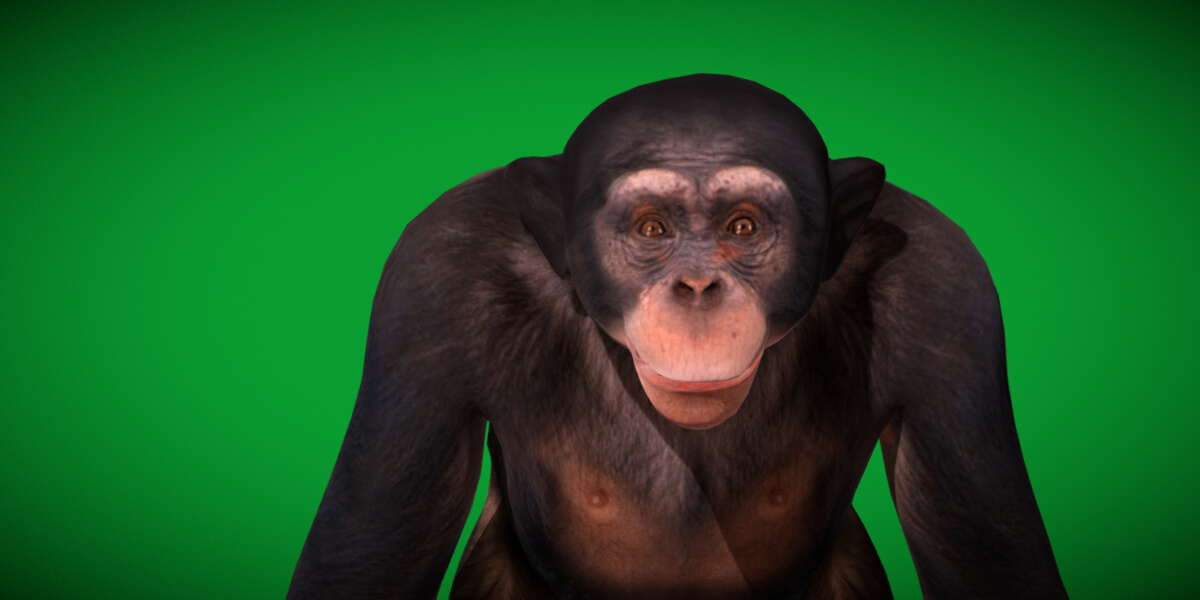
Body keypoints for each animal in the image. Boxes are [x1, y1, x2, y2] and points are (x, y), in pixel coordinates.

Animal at [287, 74, 1068, 599]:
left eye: (744, 226)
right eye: (652, 228)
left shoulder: (945, 293)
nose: (696, 288)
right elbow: (370, 554)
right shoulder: (434, 283)